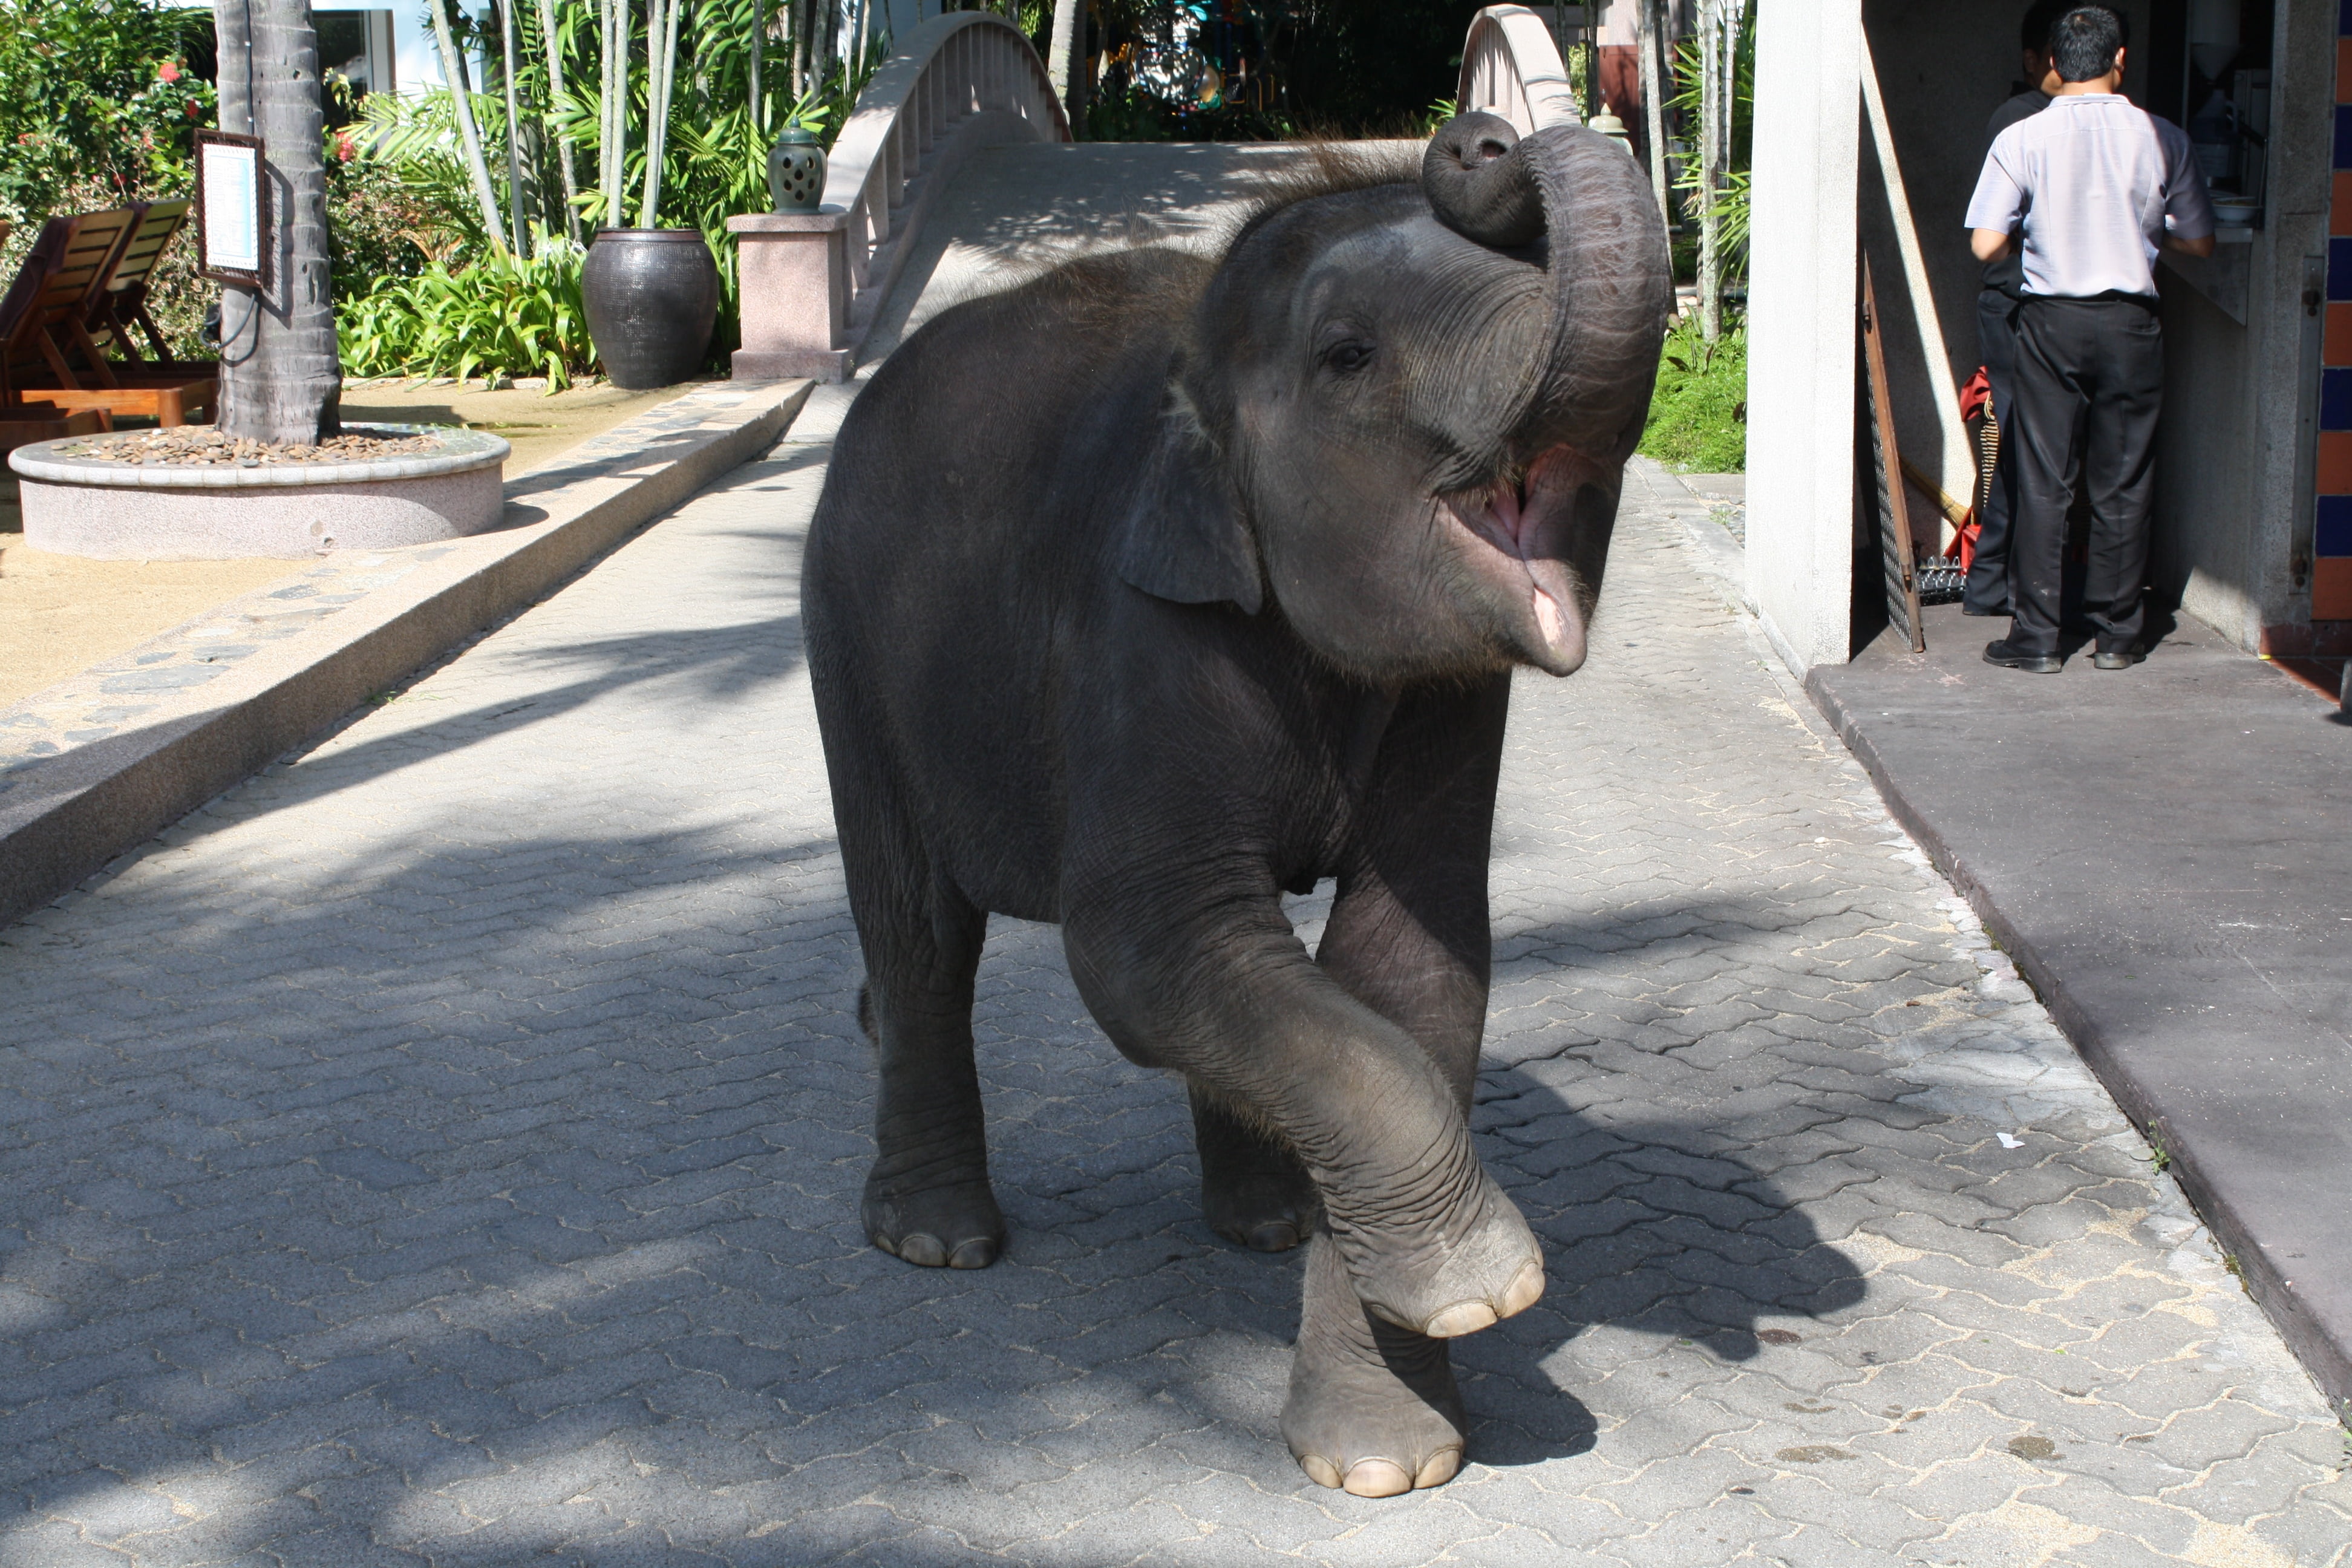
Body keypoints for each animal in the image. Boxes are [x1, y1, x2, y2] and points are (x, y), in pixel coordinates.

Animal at [803, 113, 1672, 1496]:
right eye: (1350, 355)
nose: (1479, 139)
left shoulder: (1449, 699)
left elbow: (1408, 966)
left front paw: (1387, 1458)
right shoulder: (1137, 622)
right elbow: (1142, 944)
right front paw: (1484, 1286)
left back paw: (1267, 1219)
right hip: (849, 633)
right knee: (919, 927)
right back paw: (936, 1240)